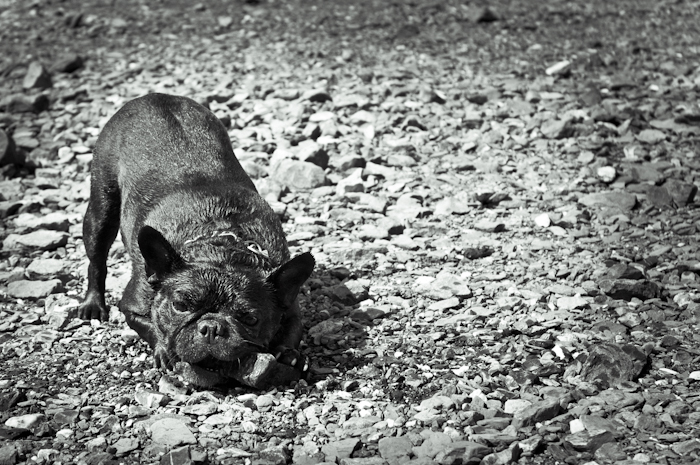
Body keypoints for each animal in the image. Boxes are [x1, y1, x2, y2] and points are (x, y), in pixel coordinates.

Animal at [78, 92, 314, 386]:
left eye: (250, 318)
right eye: (180, 306)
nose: (211, 327)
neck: (220, 249)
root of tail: (153, 96)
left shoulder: (290, 304)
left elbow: (293, 329)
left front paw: (289, 353)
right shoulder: (132, 305)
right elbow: (152, 327)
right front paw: (163, 350)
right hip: (102, 206)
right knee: (96, 258)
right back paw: (92, 304)